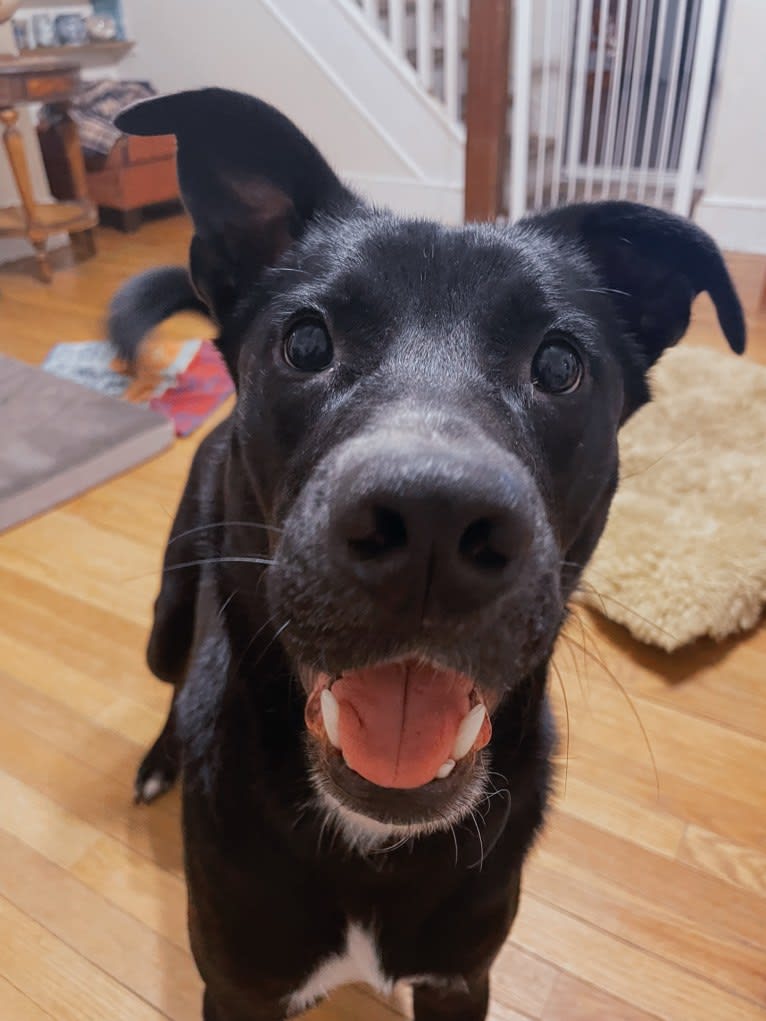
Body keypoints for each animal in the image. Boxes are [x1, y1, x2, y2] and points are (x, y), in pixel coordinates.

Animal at [110, 87, 747, 1021]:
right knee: (175, 669)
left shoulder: (461, 978)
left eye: (561, 363)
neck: (372, 839)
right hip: (167, 610)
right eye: (306, 343)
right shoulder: (235, 987)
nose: (434, 523)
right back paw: (163, 759)